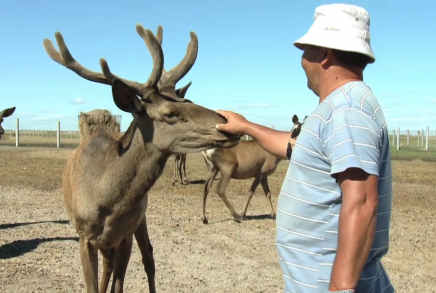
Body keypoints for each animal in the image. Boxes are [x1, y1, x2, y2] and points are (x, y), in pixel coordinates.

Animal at [43, 23, 240, 292]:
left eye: (187, 99)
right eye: (170, 113)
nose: (227, 123)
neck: (106, 203)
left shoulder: (126, 233)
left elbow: (120, 283)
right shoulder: (84, 236)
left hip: (140, 220)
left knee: (148, 256)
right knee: (111, 263)